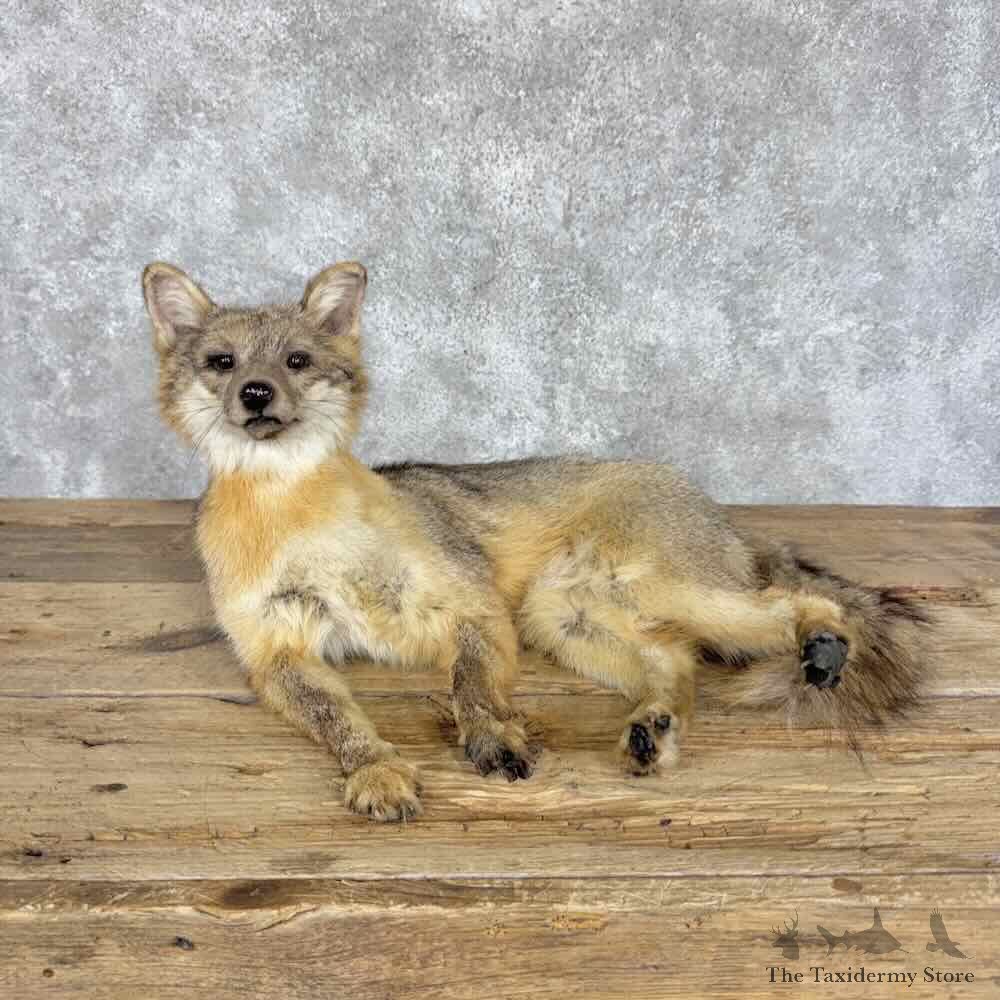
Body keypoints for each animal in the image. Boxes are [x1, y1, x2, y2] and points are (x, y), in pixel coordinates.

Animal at [143, 259, 929, 822]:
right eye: (222, 363)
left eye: (296, 361)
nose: (255, 395)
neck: (297, 515)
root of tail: (709, 507)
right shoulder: (276, 655)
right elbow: (338, 720)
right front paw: (377, 768)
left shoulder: (474, 608)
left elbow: (470, 690)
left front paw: (490, 737)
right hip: (567, 620)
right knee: (678, 665)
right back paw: (654, 729)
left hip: (666, 593)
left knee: (802, 603)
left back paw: (822, 644)